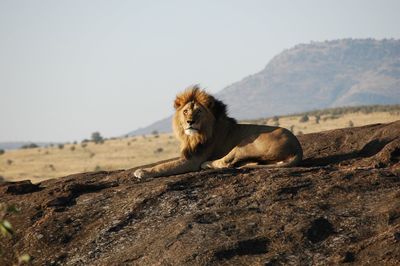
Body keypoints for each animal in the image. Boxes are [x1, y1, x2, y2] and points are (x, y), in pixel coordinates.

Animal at [133, 86, 302, 180]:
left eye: (198, 112)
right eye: (186, 111)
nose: (190, 121)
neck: (194, 135)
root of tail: (298, 149)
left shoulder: (193, 159)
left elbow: (164, 166)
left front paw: (142, 171)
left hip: (247, 142)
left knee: (226, 162)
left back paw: (207, 164)